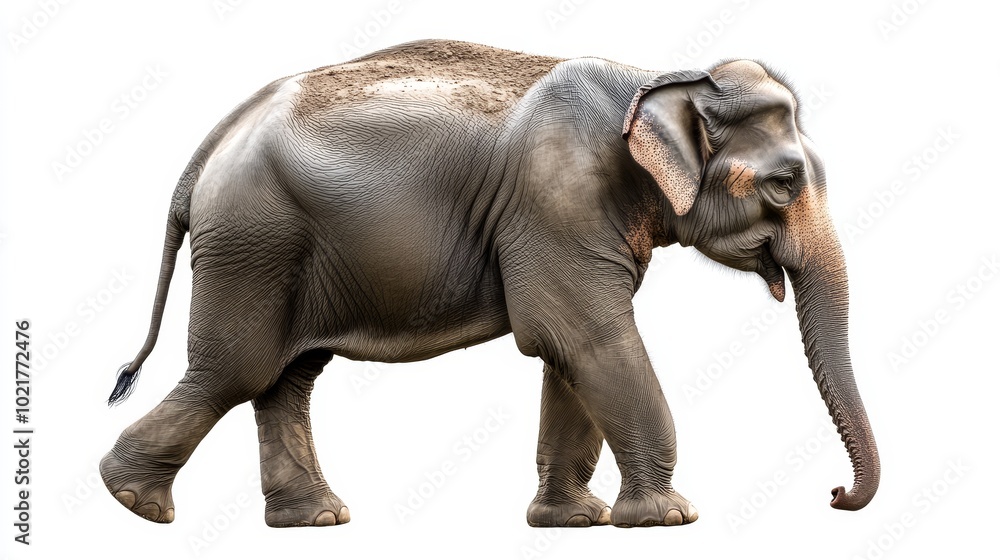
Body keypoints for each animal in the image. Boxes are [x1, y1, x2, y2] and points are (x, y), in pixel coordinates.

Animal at [101, 39, 880, 528]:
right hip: (253, 239)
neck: (658, 76)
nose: (835, 493)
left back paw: (314, 518)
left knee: (287, 377)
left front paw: (572, 522)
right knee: (236, 369)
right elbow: (586, 337)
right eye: (784, 184)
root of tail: (209, 146)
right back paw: (136, 502)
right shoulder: (555, 203)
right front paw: (667, 518)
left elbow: (571, 355)